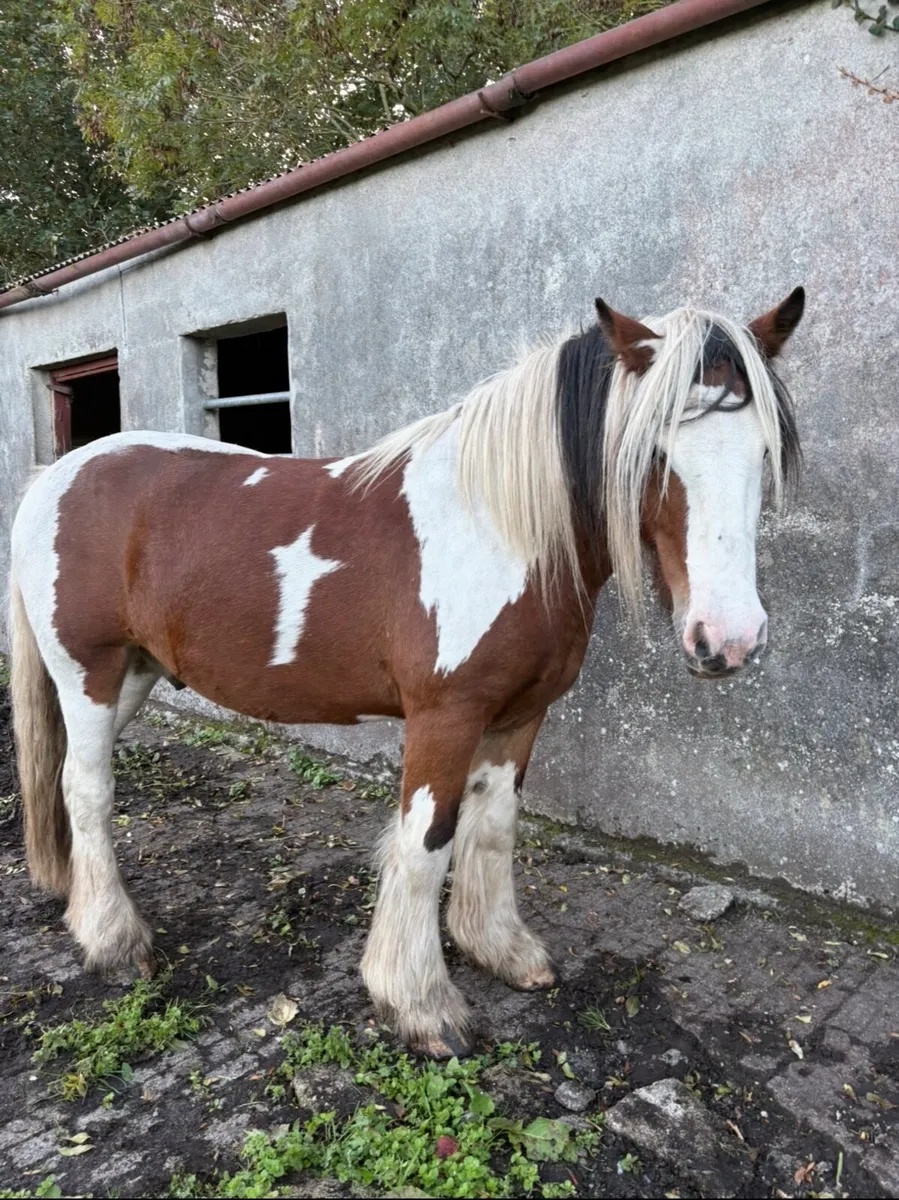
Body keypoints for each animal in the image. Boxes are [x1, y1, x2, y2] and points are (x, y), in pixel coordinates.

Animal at [8, 288, 804, 1058]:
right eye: (651, 452)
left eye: (763, 450)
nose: (729, 639)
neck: (499, 530)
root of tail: (57, 476)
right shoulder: (443, 717)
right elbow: (426, 844)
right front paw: (419, 1004)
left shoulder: (518, 714)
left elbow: (493, 827)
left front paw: (501, 950)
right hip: (88, 672)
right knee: (87, 790)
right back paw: (113, 940)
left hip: (134, 675)